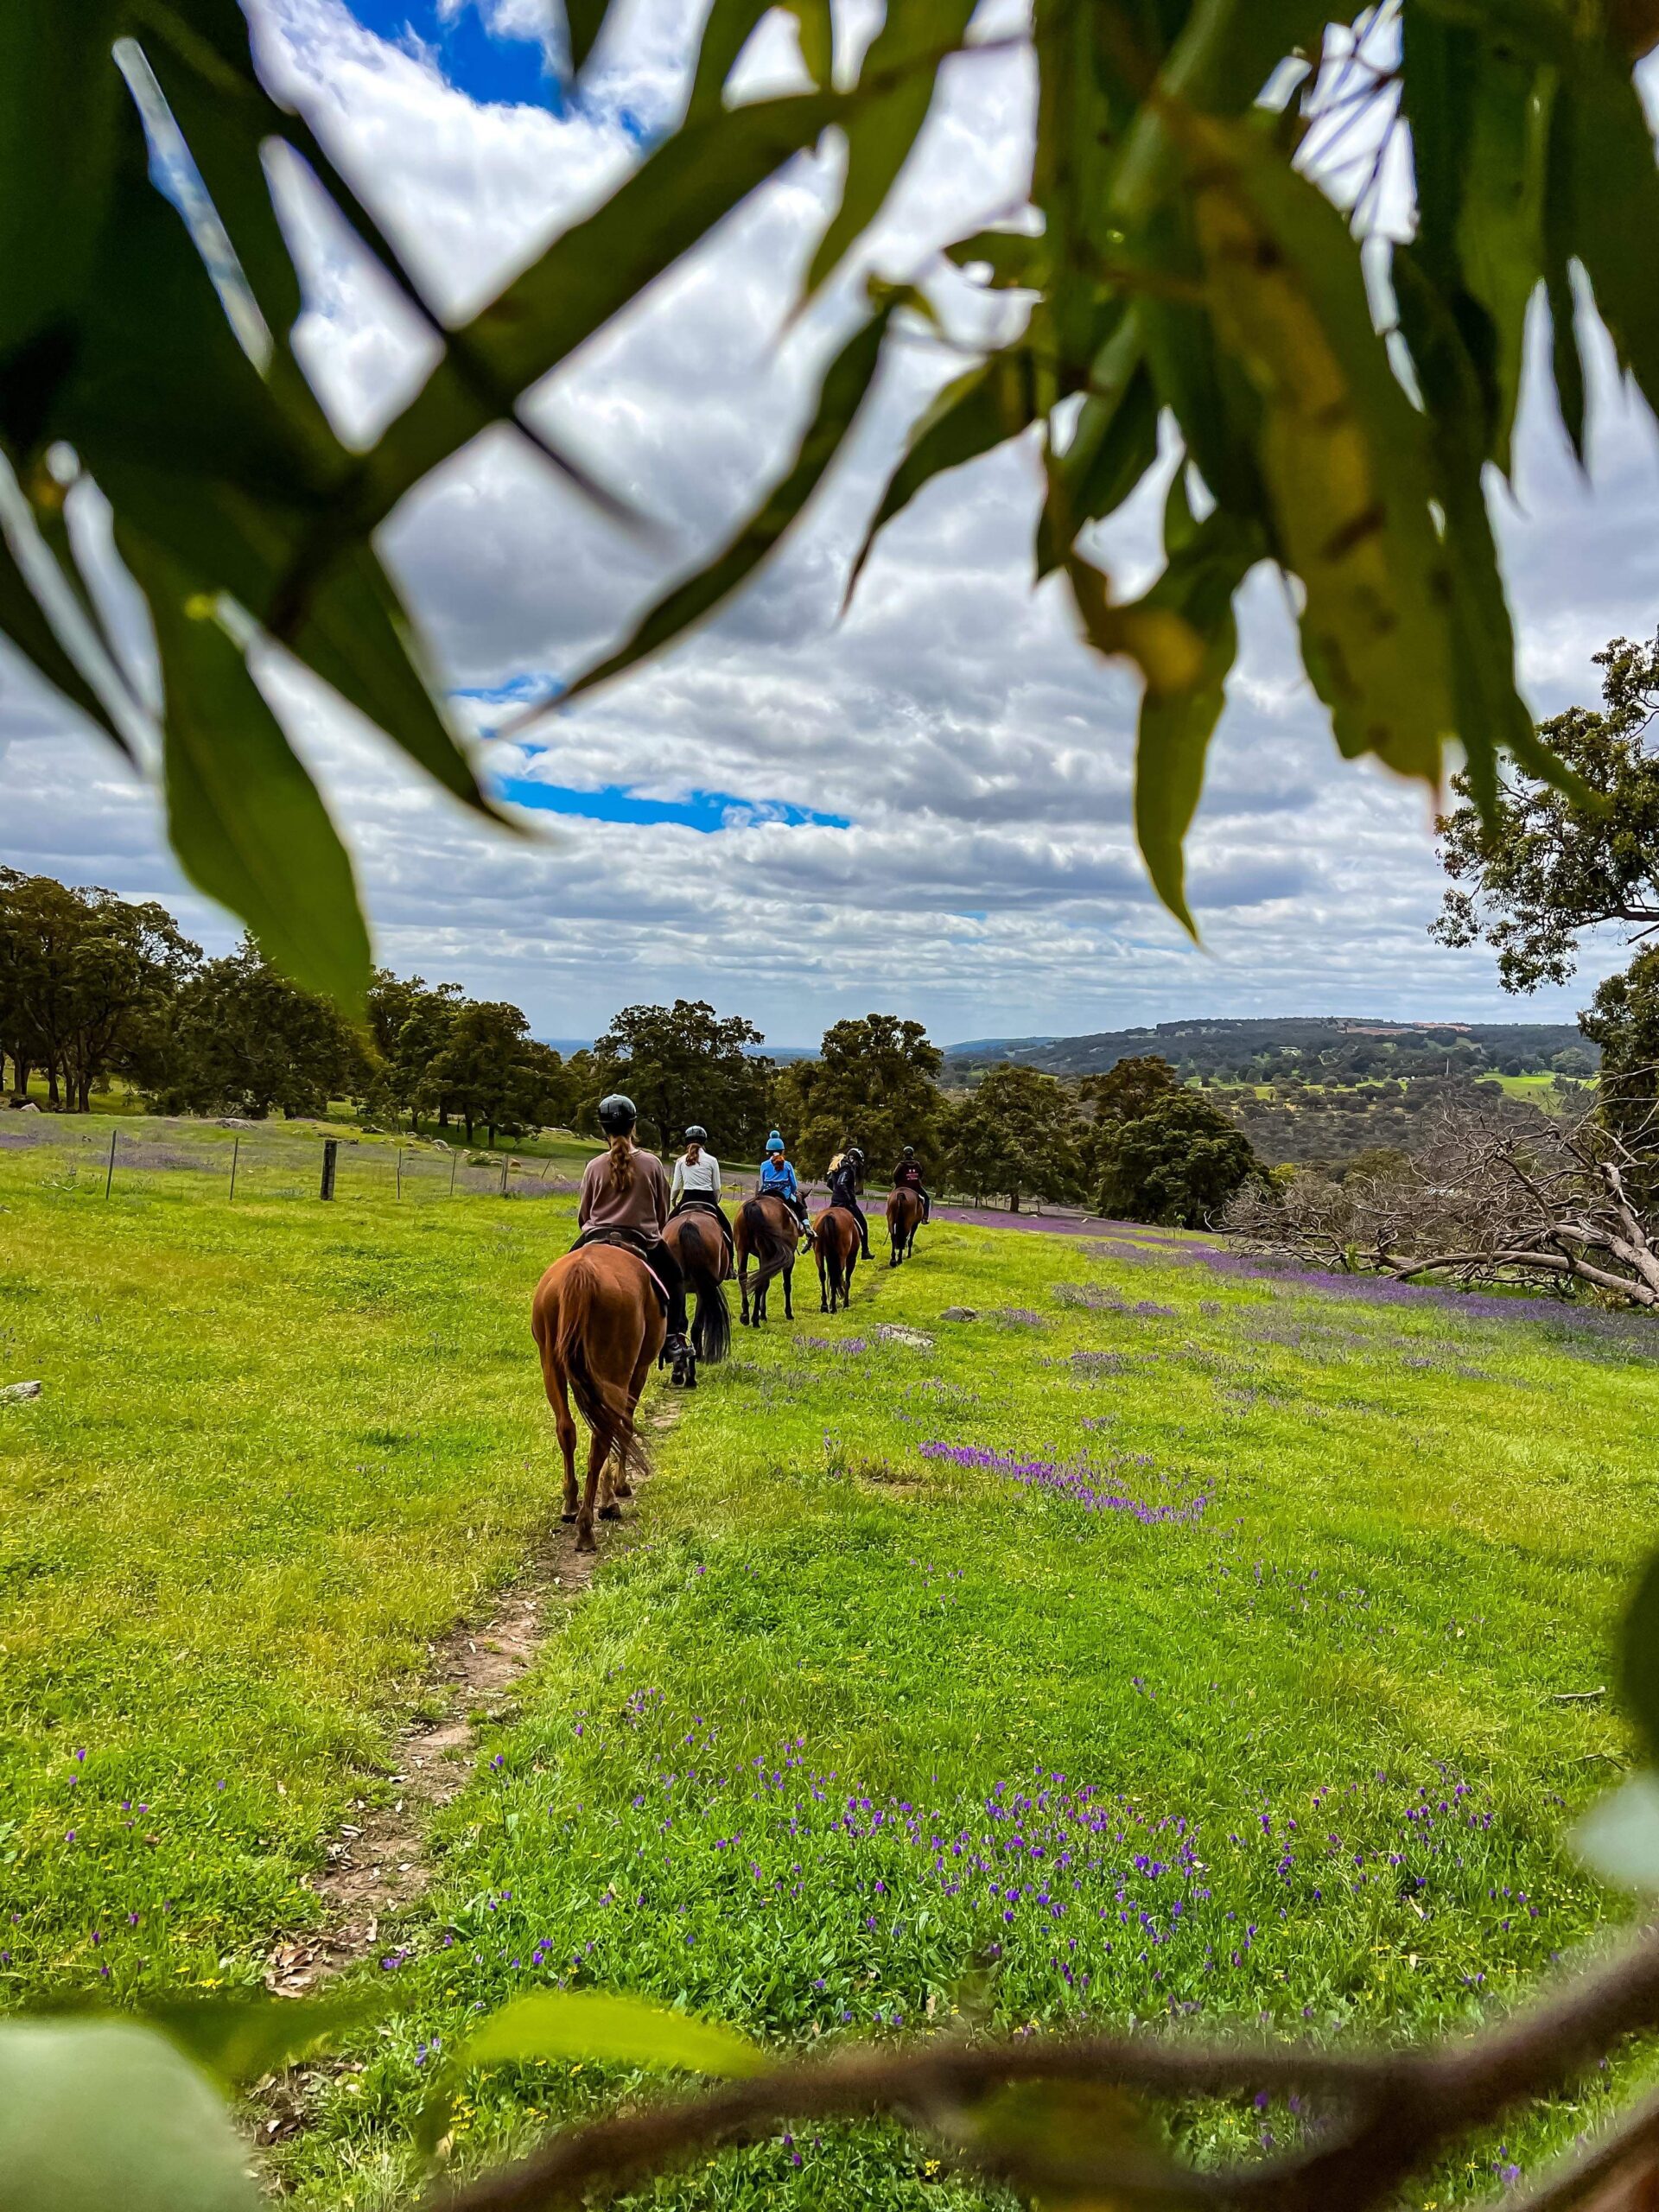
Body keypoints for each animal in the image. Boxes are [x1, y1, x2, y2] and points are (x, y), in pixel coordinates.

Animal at [528, 1247, 668, 1557]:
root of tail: (581, 1274)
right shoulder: (637, 1373)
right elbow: (625, 1427)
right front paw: (615, 1490)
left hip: (551, 1366)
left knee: (567, 1429)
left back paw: (571, 1507)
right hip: (613, 1373)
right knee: (603, 1437)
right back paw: (587, 1527)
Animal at [664, 1211, 734, 1362]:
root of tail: (687, 1224)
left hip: (681, 1287)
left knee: (683, 1323)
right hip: (702, 1288)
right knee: (697, 1324)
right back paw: (697, 1354)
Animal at [739, 1194, 800, 1327]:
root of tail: (755, 1204)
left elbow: (766, 1284)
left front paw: (763, 1314)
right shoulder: (790, 1260)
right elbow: (786, 1285)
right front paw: (789, 1313)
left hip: (742, 1248)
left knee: (744, 1277)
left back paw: (745, 1316)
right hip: (764, 1252)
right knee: (759, 1281)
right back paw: (755, 1319)